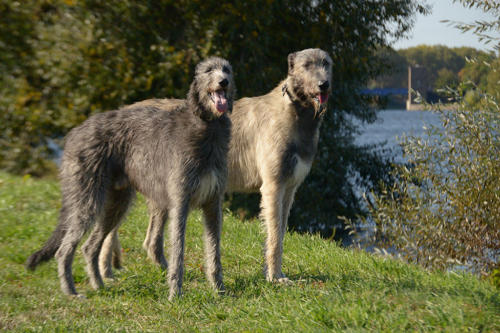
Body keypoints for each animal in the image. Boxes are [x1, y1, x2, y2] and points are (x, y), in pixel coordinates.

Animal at [26, 57, 237, 298]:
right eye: (209, 70)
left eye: (227, 70)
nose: (223, 82)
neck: (207, 126)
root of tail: (75, 133)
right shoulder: (179, 202)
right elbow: (178, 252)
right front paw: (175, 294)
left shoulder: (213, 204)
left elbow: (214, 251)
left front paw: (219, 290)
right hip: (88, 200)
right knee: (64, 250)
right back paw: (71, 292)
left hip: (116, 203)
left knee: (89, 246)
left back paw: (99, 286)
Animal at [100, 48, 332, 282]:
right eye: (306, 66)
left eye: (327, 63)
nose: (324, 84)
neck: (294, 111)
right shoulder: (273, 185)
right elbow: (274, 234)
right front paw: (275, 277)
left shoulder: (289, 188)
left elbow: (280, 232)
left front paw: (275, 272)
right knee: (111, 232)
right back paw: (106, 273)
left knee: (150, 240)